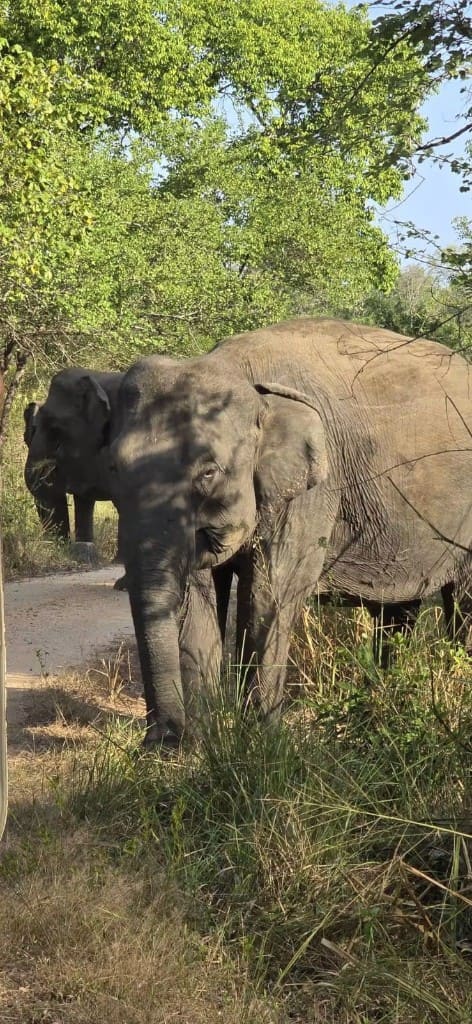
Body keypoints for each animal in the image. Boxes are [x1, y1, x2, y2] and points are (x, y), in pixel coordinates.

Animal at [101, 317, 472, 747]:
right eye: (113, 468)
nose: (159, 740)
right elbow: (196, 599)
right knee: (397, 612)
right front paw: (200, 746)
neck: (240, 375)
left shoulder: (312, 489)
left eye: (208, 472)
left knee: (463, 601)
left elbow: (270, 595)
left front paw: (259, 743)